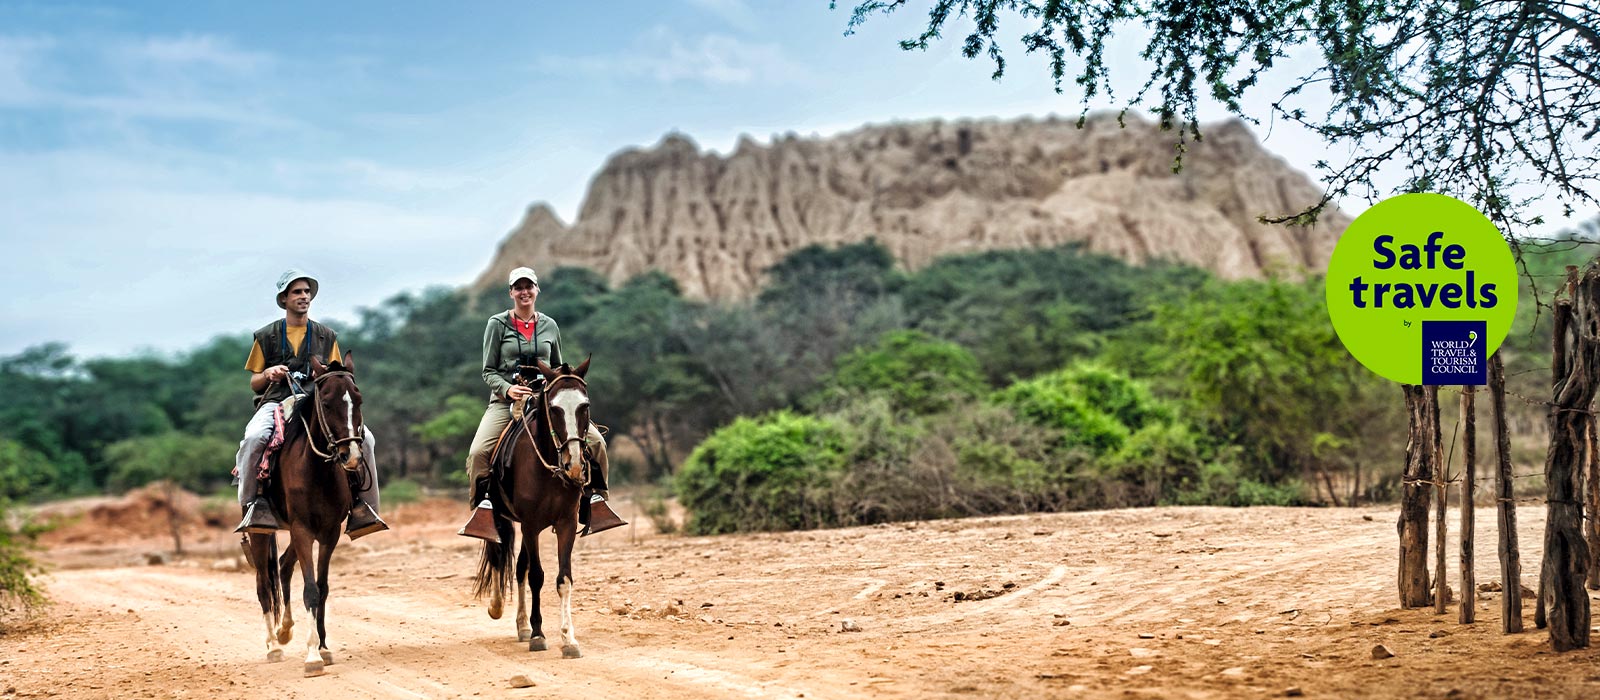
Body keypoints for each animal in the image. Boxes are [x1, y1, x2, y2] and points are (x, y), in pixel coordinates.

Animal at [243, 357, 366, 674]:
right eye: (327, 402)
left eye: (358, 399)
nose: (351, 455)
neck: (317, 470)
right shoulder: (301, 529)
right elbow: (309, 589)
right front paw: (312, 657)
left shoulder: (328, 533)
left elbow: (321, 588)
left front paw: (323, 648)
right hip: (261, 533)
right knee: (263, 584)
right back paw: (273, 646)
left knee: (284, 566)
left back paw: (285, 630)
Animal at [473, 357, 601, 658]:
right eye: (554, 408)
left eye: (585, 405)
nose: (574, 465)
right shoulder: (530, 524)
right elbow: (537, 577)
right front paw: (539, 635)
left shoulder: (565, 523)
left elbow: (563, 579)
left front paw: (568, 639)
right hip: (499, 518)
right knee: (499, 557)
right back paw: (498, 608)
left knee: (519, 566)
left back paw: (522, 626)